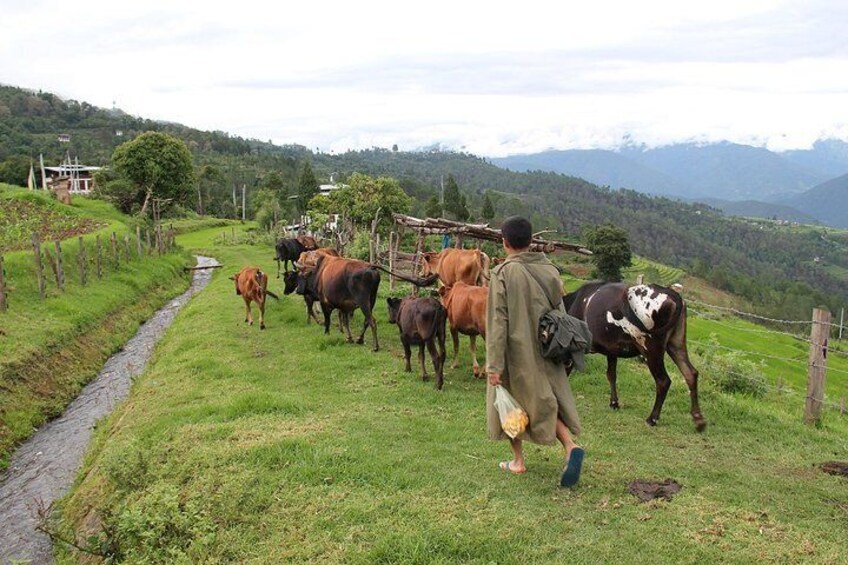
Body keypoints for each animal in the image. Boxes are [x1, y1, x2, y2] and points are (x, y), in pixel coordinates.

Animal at [564, 282, 708, 432]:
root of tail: (671, 292)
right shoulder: (611, 351)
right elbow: (611, 375)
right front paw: (614, 403)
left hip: (650, 348)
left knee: (663, 381)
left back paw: (652, 419)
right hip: (676, 344)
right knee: (690, 373)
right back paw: (699, 420)